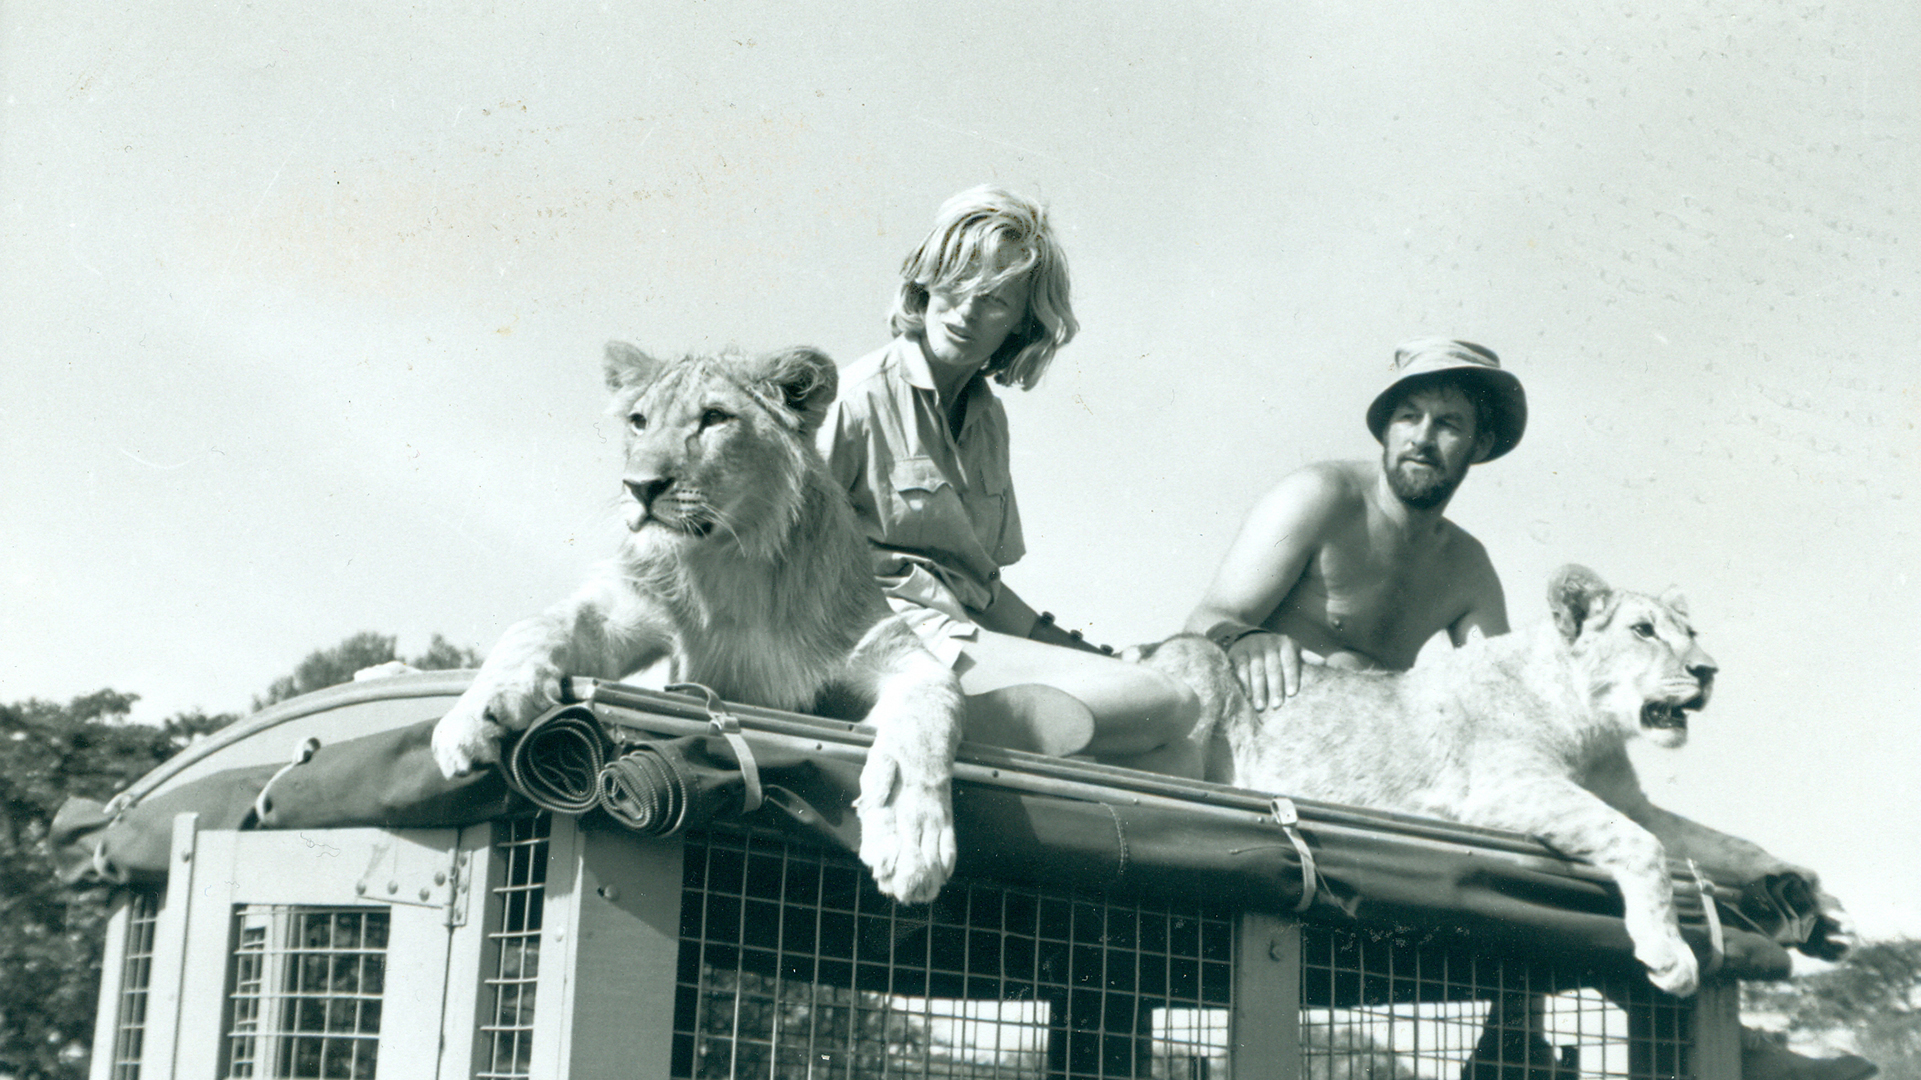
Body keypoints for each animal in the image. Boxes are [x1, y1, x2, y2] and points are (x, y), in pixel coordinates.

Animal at [439, 342, 968, 899]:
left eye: (714, 418)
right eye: (639, 422)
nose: (639, 487)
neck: (734, 564)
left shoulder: (885, 644)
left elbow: (932, 709)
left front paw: (912, 838)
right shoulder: (626, 607)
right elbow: (535, 627)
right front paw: (471, 716)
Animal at [1129, 564, 1851, 991]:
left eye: (1691, 630)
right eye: (1644, 630)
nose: (1708, 671)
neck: (1593, 727)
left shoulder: (1633, 801)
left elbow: (1724, 842)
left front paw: (1810, 899)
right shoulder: (1504, 788)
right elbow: (1640, 845)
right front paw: (1669, 953)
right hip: (1192, 679)